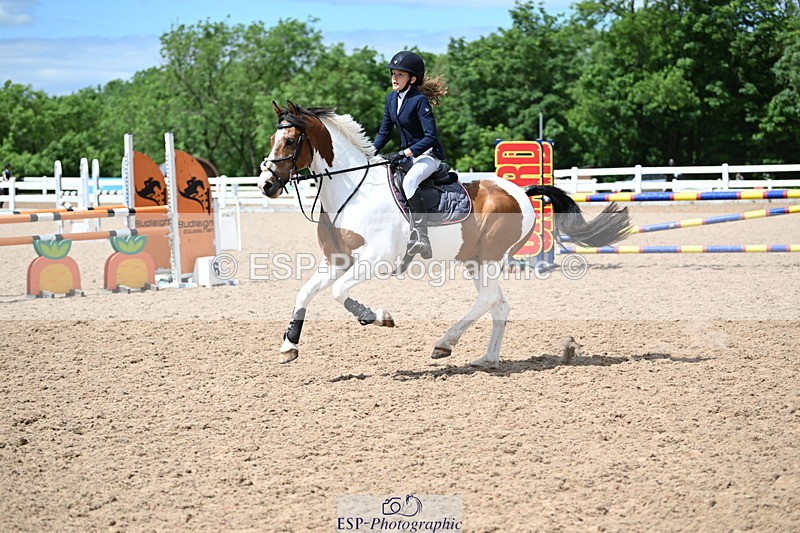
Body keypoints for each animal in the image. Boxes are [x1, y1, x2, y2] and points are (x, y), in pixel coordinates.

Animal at [258, 101, 630, 369]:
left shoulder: (376, 260)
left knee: (488, 300)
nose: (266, 185)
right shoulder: (338, 260)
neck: (353, 190)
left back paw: (444, 343)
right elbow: (306, 292)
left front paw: (376, 317)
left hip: (491, 258)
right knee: (499, 304)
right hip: (476, 260)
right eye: (272, 140)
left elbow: (338, 293)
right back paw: (487, 359)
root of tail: (521, 191)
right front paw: (289, 346)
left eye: (289, 141)